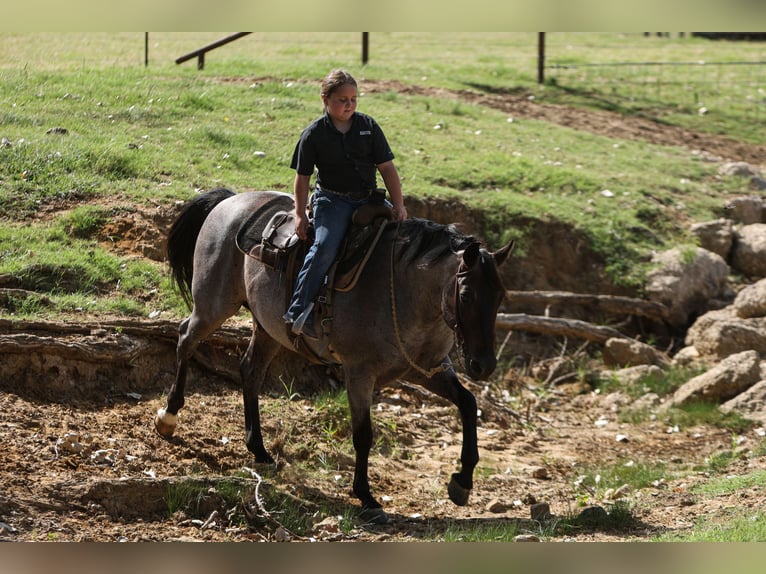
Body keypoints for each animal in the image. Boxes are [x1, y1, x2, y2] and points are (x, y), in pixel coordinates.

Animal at [154, 190, 516, 528]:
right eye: (466, 295)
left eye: (501, 296)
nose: (484, 365)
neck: (404, 290)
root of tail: (230, 200)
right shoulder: (359, 373)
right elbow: (363, 434)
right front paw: (366, 496)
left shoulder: (427, 371)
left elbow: (468, 404)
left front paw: (462, 482)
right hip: (214, 305)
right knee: (186, 338)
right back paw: (169, 416)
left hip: (268, 328)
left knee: (250, 370)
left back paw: (259, 449)